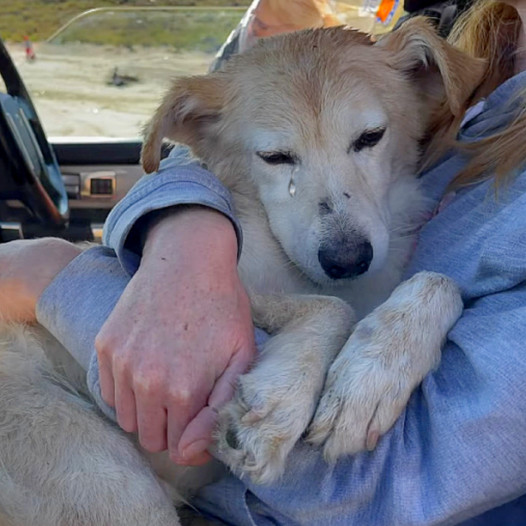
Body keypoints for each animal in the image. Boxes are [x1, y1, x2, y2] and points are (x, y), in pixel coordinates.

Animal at [0, 18, 484, 526]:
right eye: (274, 157)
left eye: (371, 136)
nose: (348, 258)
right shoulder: (197, 292)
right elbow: (333, 306)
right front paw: (280, 404)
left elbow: (439, 282)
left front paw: (370, 380)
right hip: (108, 483)